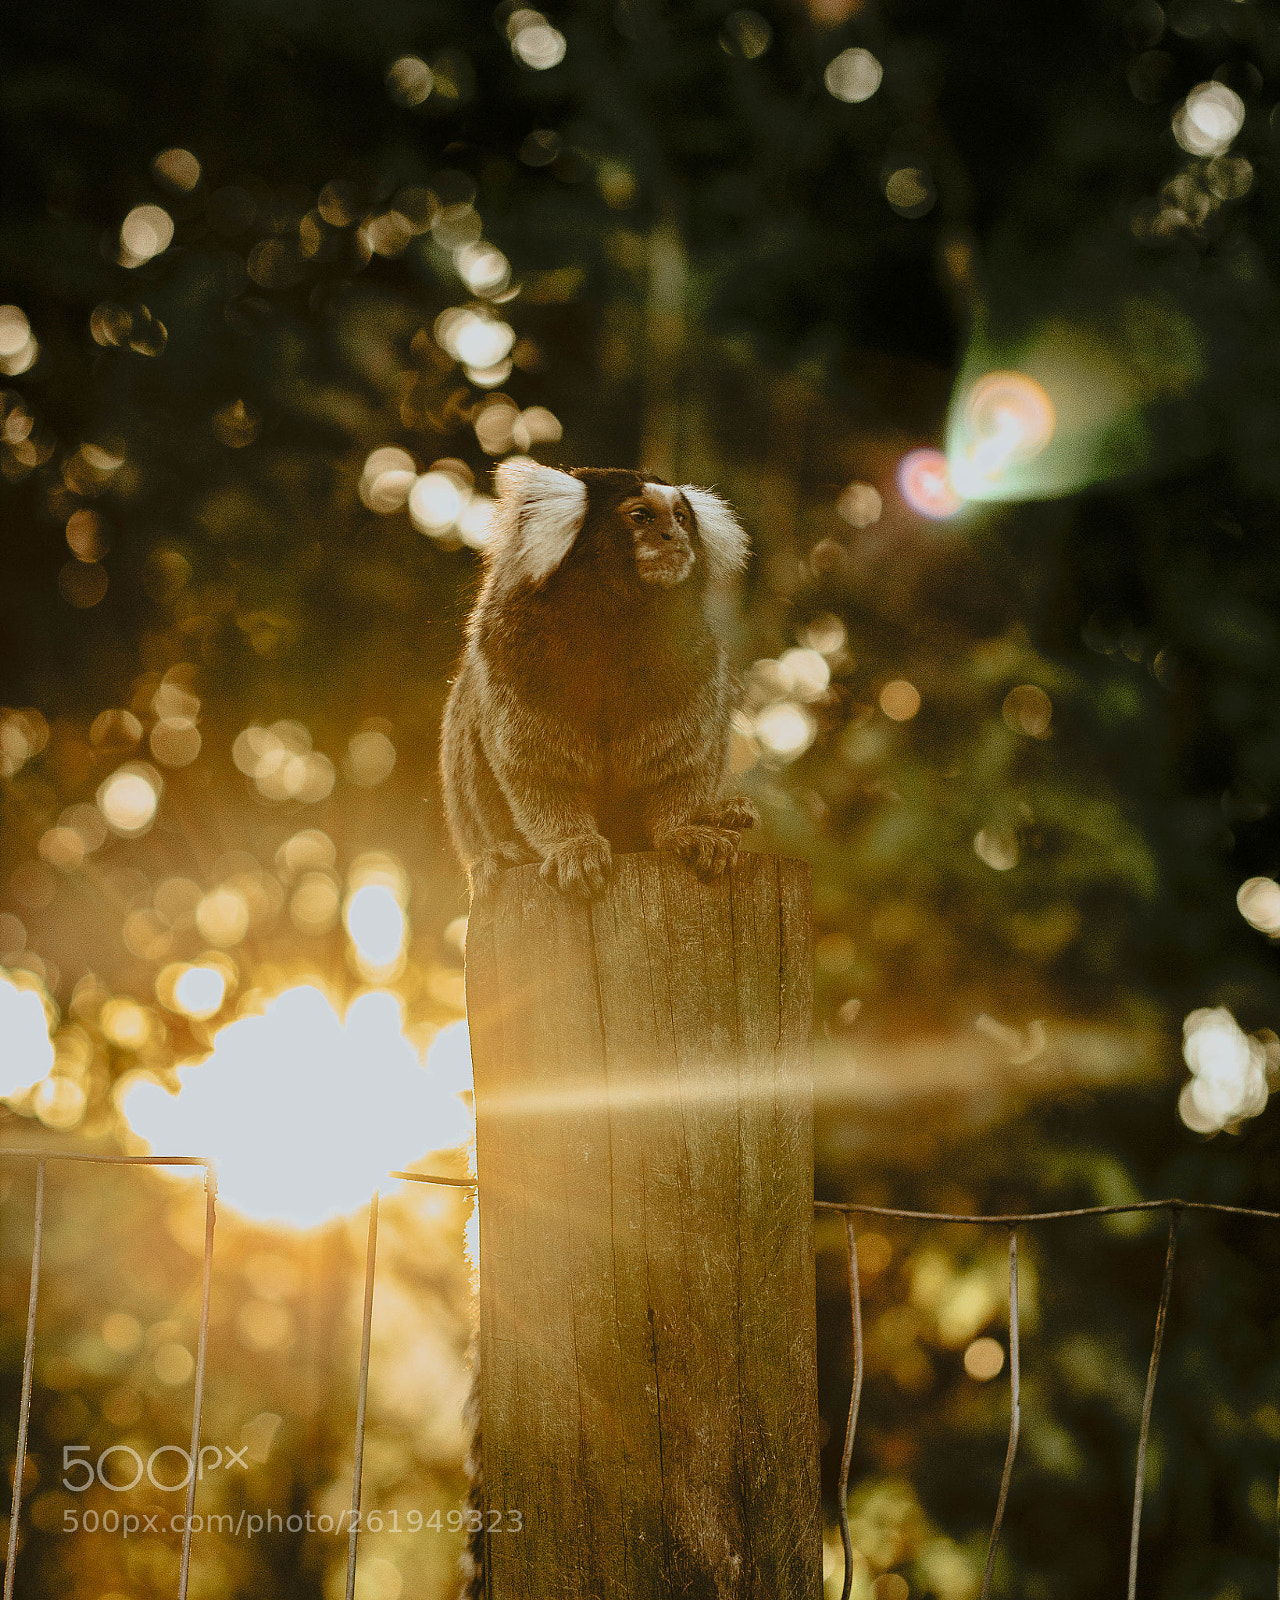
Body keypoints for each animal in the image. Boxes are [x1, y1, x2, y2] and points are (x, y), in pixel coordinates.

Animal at [440, 461, 758, 901]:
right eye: (641, 516)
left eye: (681, 518)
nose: (674, 537)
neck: (611, 619)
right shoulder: (509, 651)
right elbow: (537, 768)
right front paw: (572, 844)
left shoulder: (694, 657)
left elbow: (679, 762)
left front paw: (683, 829)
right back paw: (500, 853)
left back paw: (727, 813)